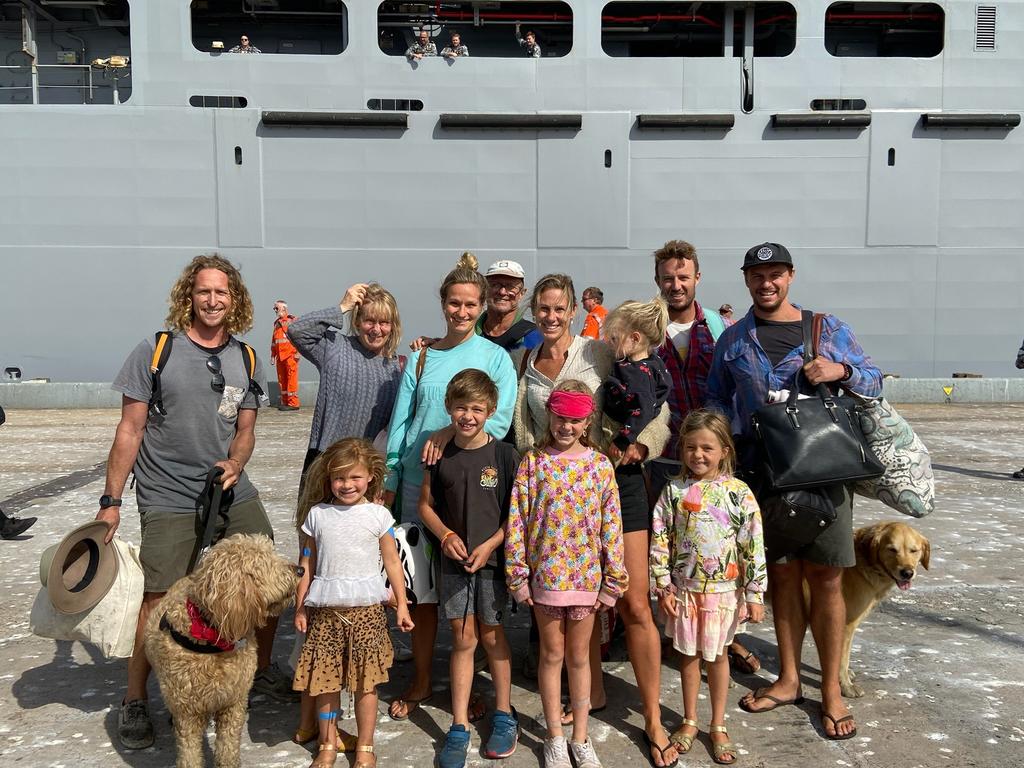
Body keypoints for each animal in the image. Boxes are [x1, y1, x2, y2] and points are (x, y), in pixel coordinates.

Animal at [146, 536, 301, 768]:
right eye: (265, 561)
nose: (300, 570)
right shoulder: (187, 714)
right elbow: (190, 754)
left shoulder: (233, 703)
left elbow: (227, 748)